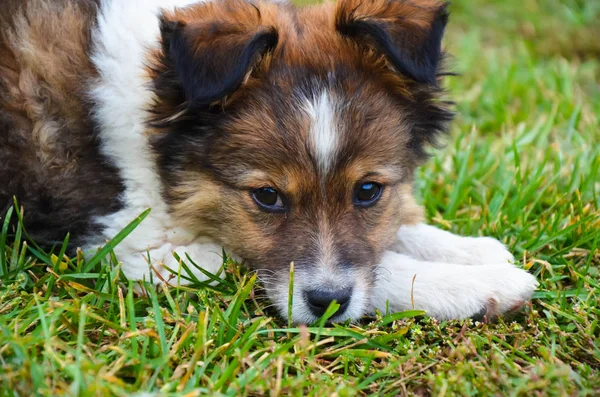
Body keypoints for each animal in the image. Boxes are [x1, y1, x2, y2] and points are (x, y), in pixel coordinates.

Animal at [0, 0, 536, 324]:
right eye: (267, 196)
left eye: (367, 191)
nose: (327, 305)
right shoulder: (136, 244)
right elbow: (377, 268)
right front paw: (484, 285)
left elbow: (388, 238)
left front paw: (468, 249)